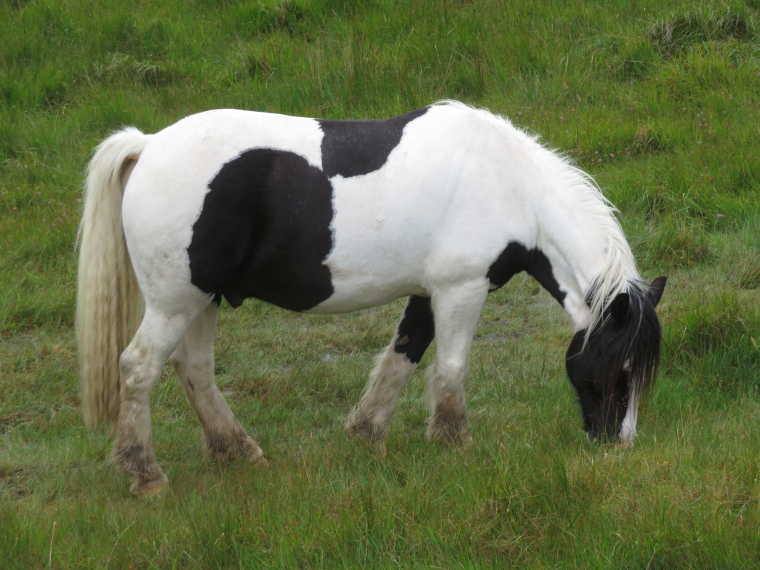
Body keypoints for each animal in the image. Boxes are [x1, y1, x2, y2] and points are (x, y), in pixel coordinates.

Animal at [77, 101, 664, 492]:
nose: (619, 443)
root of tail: (148, 144)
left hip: (204, 299)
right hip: (177, 300)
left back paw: (238, 451)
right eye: (616, 368)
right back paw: (145, 473)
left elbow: (403, 358)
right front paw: (455, 444)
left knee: (194, 371)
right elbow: (451, 368)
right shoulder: (461, 288)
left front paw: (367, 434)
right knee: (138, 367)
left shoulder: (428, 293)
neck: (510, 185)